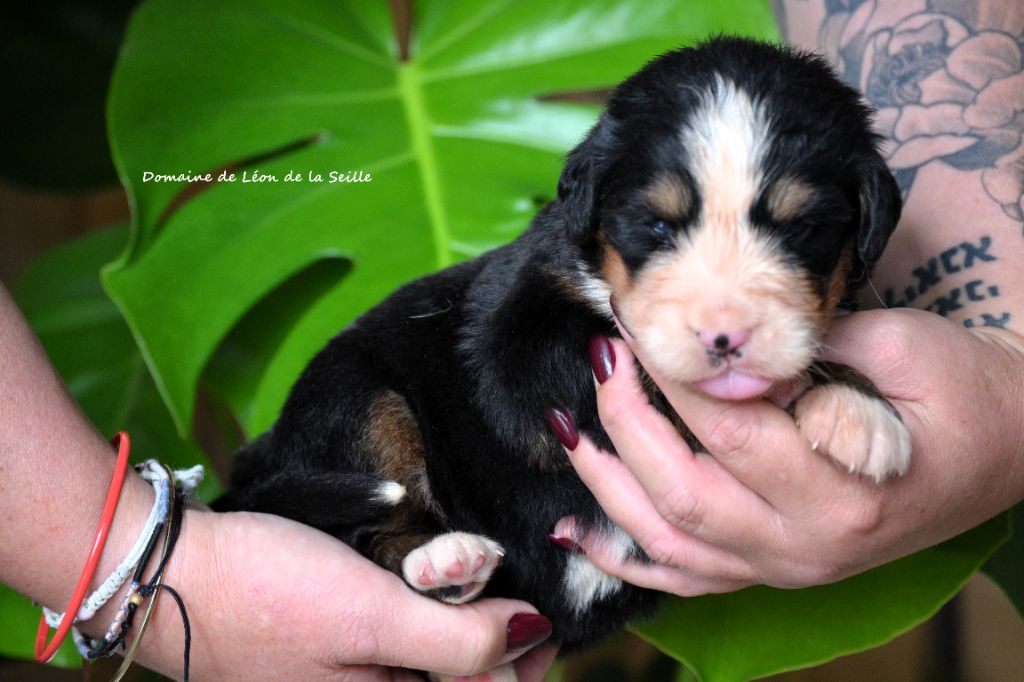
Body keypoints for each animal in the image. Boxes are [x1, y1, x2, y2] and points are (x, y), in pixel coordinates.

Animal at [215, 36, 911, 662]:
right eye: (656, 226)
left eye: (804, 228)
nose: (725, 336)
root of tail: (260, 455)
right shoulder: (526, 344)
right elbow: (645, 374)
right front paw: (852, 405)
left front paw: (854, 405)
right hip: (356, 397)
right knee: (365, 524)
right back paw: (445, 557)